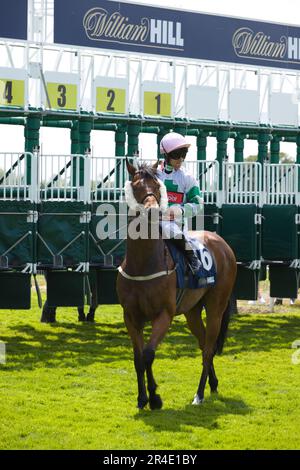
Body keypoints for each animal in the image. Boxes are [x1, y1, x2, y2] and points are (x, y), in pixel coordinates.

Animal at [116, 158, 238, 408]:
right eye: (136, 185)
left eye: (157, 186)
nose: (153, 211)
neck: (143, 264)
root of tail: (223, 244)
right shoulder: (131, 316)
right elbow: (138, 357)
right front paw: (142, 398)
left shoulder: (164, 314)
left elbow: (148, 354)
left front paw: (155, 397)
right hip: (192, 311)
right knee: (203, 344)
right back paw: (213, 384)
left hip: (216, 307)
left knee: (209, 349)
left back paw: (199, 394)